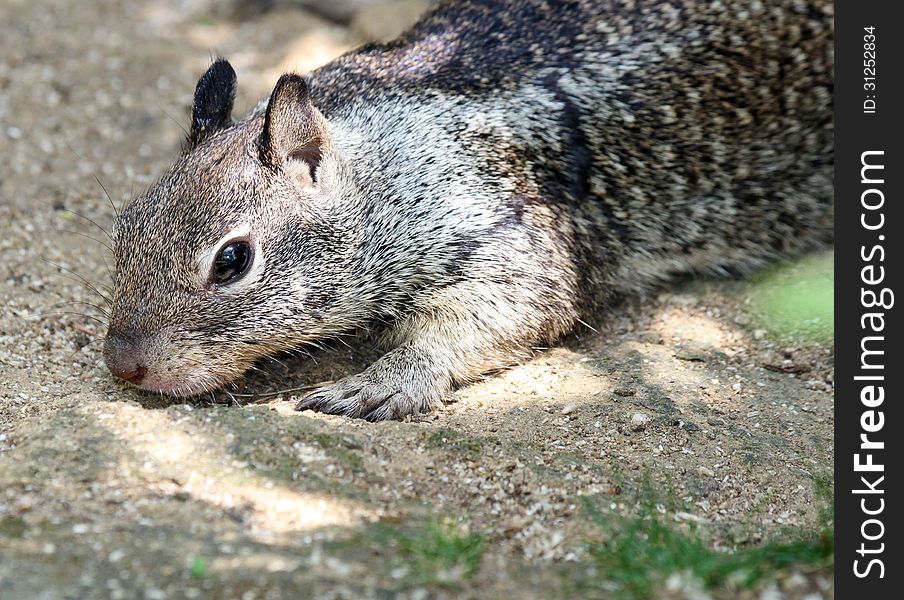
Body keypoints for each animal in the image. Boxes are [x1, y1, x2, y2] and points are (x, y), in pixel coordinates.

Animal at [104, 0, 832, 420]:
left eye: (232, 260)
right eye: (126, 227)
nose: (123, 364)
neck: (383, 168)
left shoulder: (509, 241)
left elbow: (498, 314)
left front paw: (385, 380)